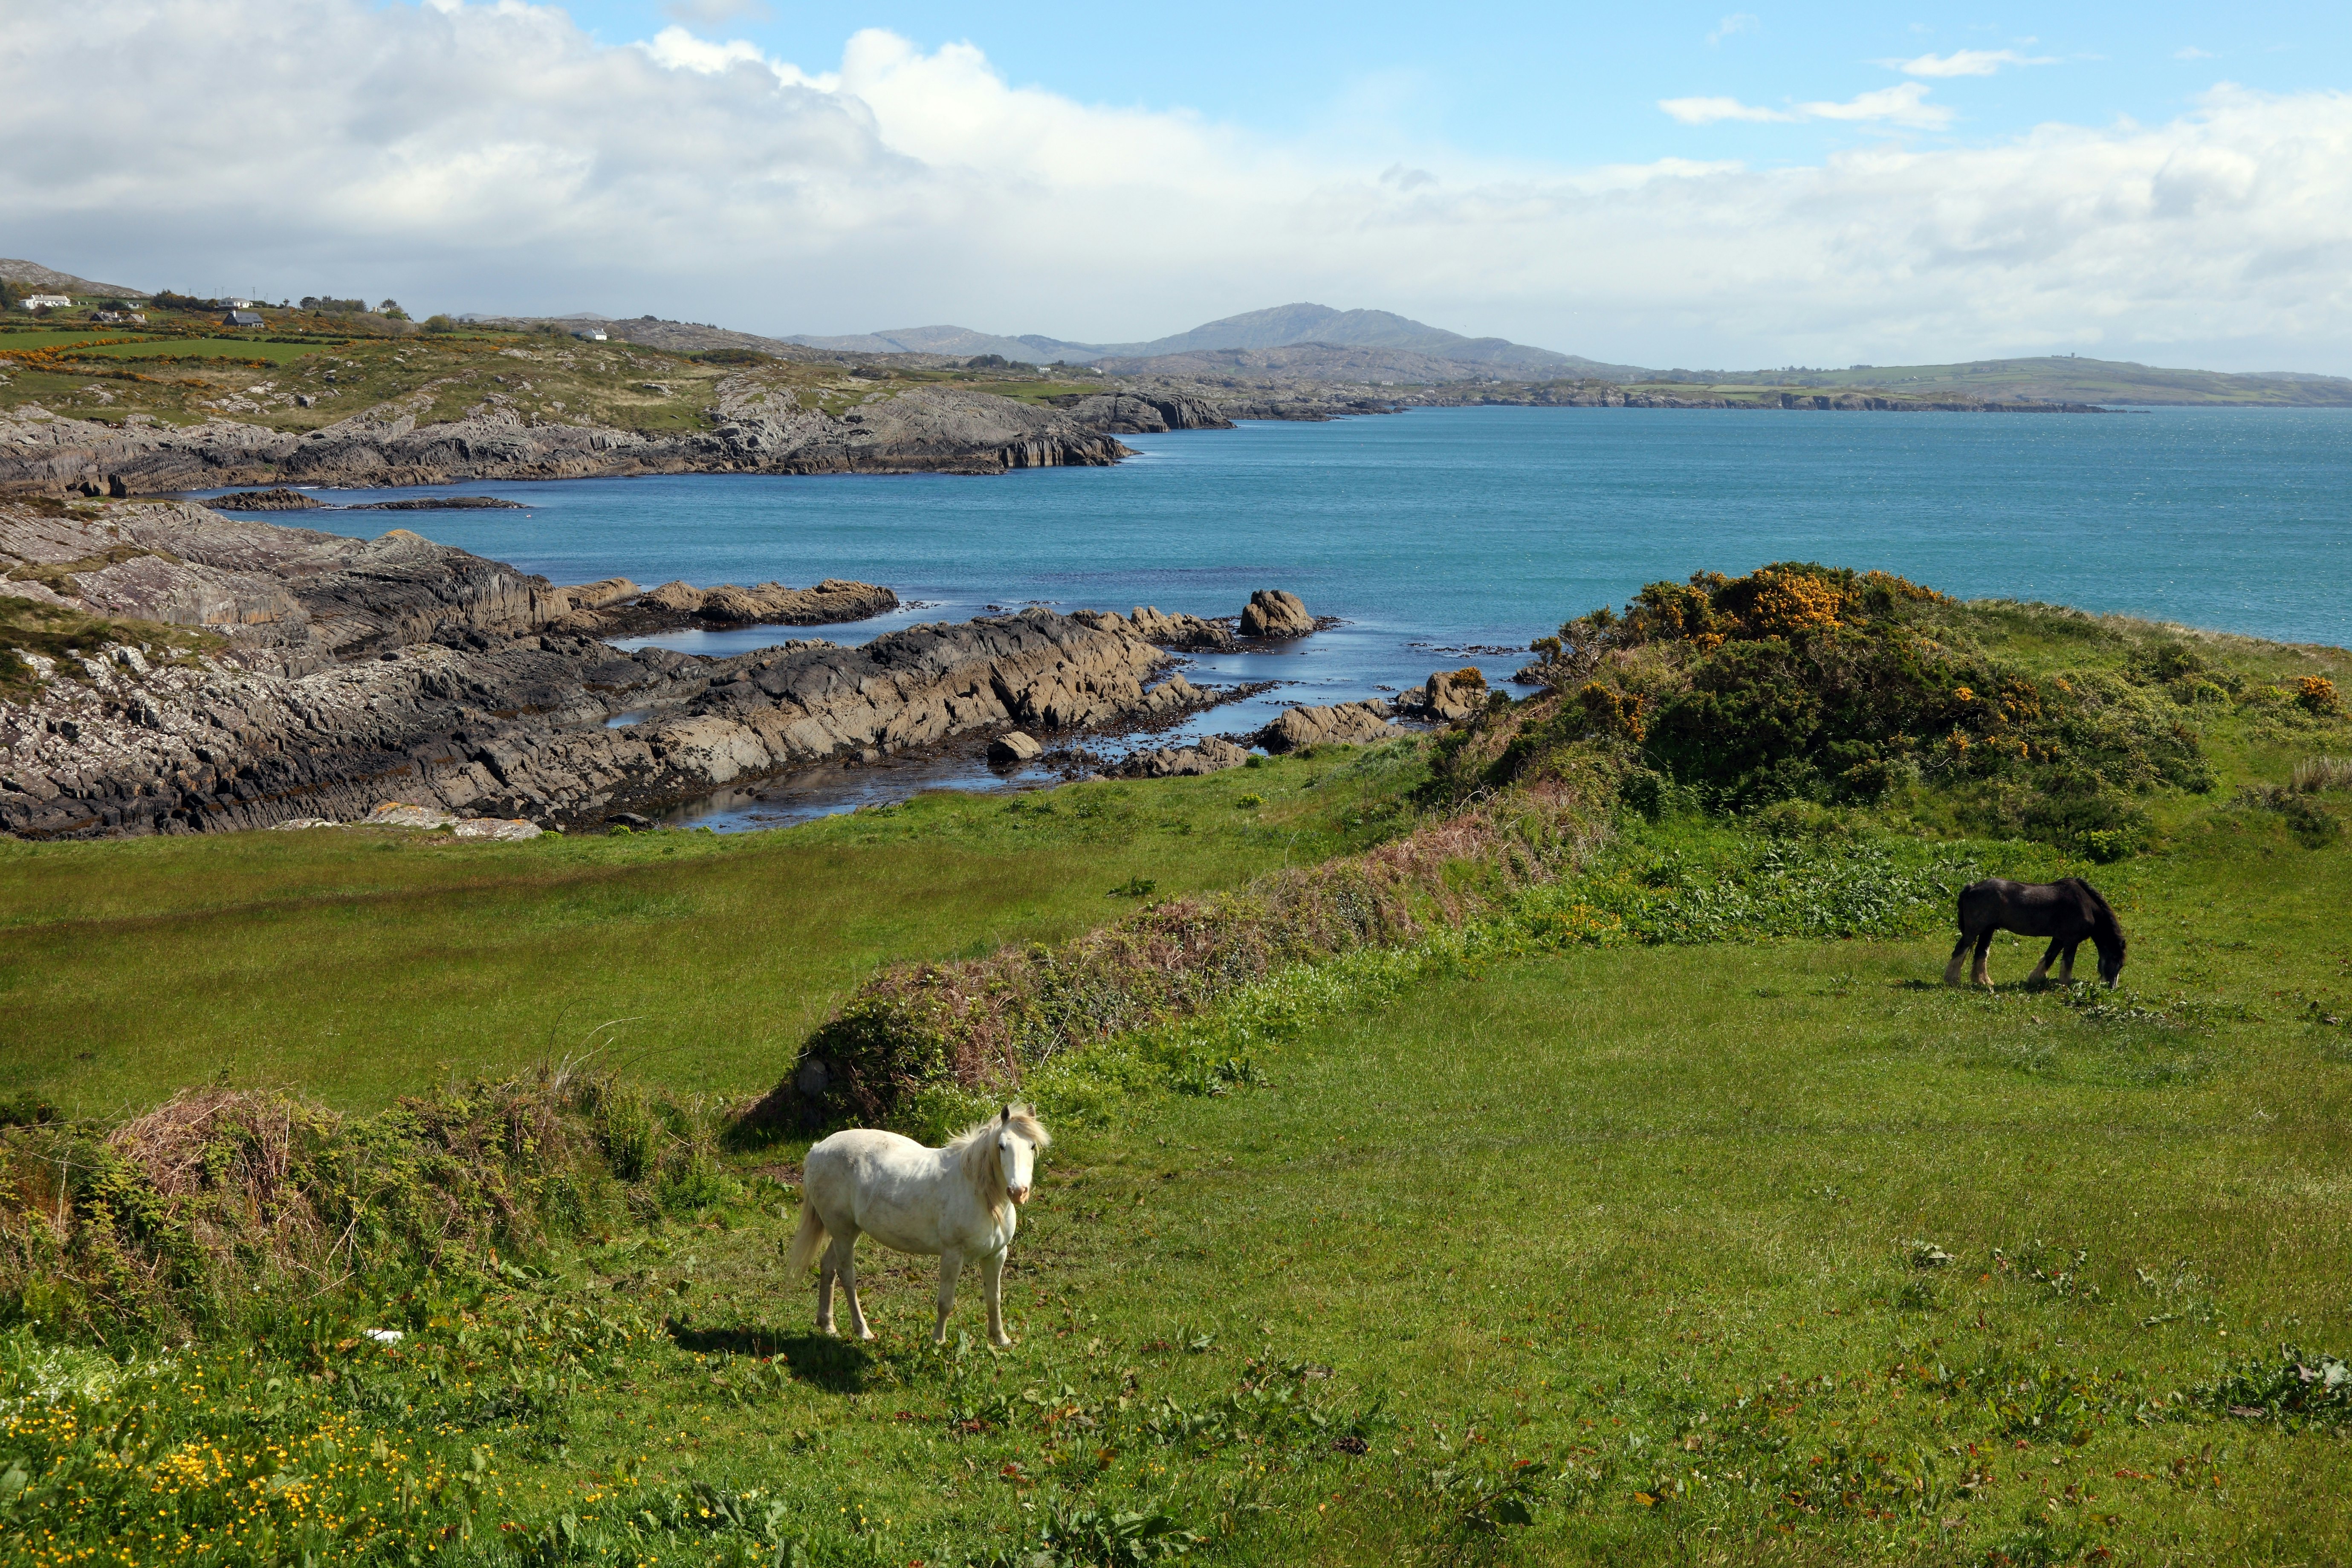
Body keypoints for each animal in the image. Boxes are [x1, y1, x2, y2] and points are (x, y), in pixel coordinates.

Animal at [786, 1105, 1050, 1347]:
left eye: (1032, 1146)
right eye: (1002, 1146)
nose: (1018, 1192)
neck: (978, 1191)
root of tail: (817, 1149)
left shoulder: (996, 1255)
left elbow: (994, 1298)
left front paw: (1000, 1338)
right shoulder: (953, 1255)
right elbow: (945, 1302)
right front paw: (938, 1341)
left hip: (847, 1232)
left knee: (828, 1267)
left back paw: (828, 1326)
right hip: (843, 1232)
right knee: (847, 1276)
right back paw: (863, 1331)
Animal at [1945, 876, 2126, 990]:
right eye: (2117, 963)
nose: (2111, 987)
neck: (2085, 904)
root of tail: (1972, 888)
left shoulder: (2059, 938)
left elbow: (2049, 957)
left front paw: (2035, 978)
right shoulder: (2071, 940)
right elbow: (2067, 962)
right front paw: (2065, 984)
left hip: (1988, 930)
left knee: (1981, 953)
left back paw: (1984, 981)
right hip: (1975, 930)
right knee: (1960, 950)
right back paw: (1952, 980)